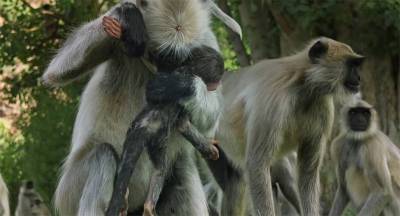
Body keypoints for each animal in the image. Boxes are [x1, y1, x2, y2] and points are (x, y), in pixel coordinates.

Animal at [41, 0, 241, 215]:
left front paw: (178, 86)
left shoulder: (206, 40)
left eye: (180, 58)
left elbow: (210, 123)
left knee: (182, 172)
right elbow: (56, 72)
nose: (168, 69)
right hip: (69, 192)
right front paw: (127, 14)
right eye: (162, 55)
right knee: (103, 154)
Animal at [212, 37, 366, 216]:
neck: (303, 85)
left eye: (357, 65)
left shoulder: (323, 106)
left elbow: (307, 172)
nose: (359, 78)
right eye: (352, 64)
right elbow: (257, 163)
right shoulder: (273, 99)